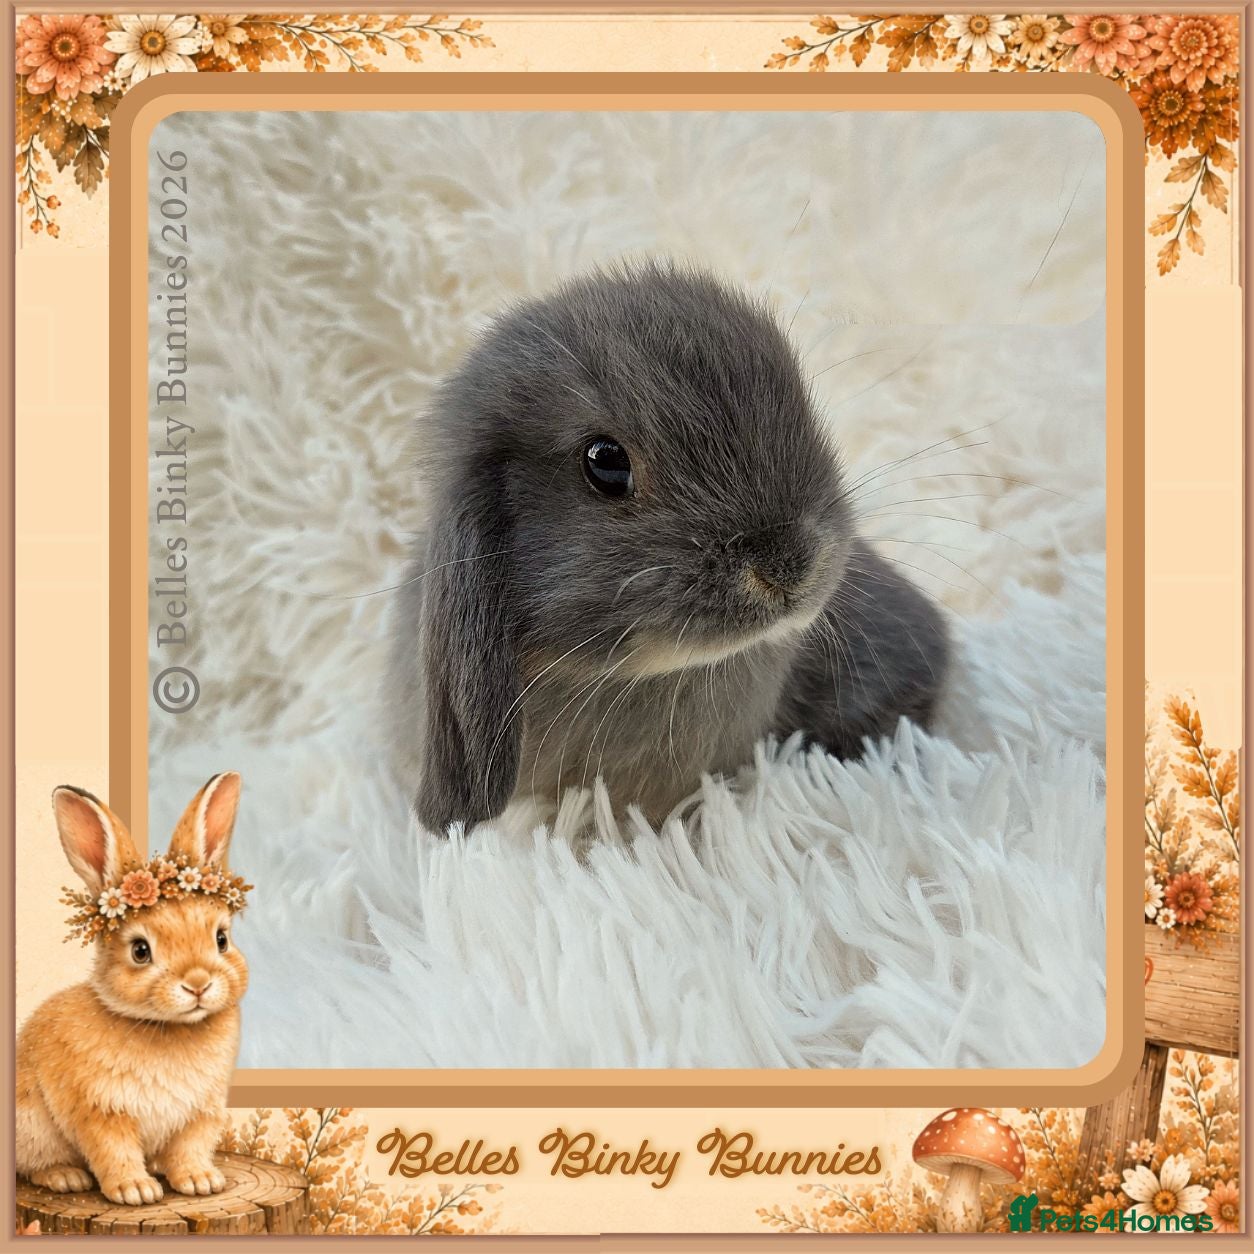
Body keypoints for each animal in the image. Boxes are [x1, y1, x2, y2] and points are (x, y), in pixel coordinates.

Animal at [16, 773, 249, 1206]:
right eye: (140, 951)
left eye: (221, 939)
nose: (198, 984)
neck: (168, 1028)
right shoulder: (101, 1111)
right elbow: (114, 1150)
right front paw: (135, 1191)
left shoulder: (200, 1113)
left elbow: (190, 1148)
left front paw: (201, 1182)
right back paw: (65, 1177)